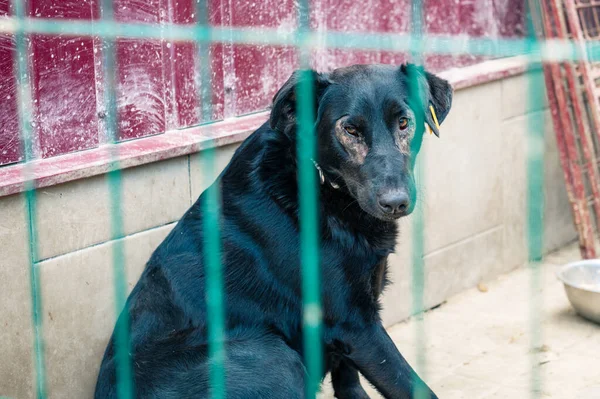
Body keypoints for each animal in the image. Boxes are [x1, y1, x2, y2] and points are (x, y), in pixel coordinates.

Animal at [96, 64, 450, 398]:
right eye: (350, 129)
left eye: (403, 123)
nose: (396, 202)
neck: (320, 185)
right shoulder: (357, 326)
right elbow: (412, 387)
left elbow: (348, 381)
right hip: (274, 356)